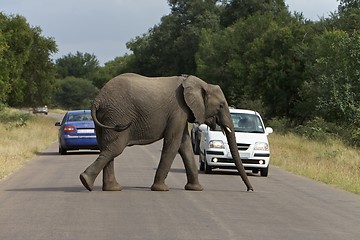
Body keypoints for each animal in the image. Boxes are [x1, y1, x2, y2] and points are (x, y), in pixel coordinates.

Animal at [79, 72, 253, 191]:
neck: (198, 82)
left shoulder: (182, 113)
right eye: (221, 105)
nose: (250, 189)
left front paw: (196, 189)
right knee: (115, 148)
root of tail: (98, 100)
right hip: (117, 115)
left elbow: (185, 146)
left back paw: (109, 188)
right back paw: (86, 181)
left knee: (106, 148)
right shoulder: (178, 110)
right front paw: (161, 189)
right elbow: (173, 143)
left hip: (106, 117)